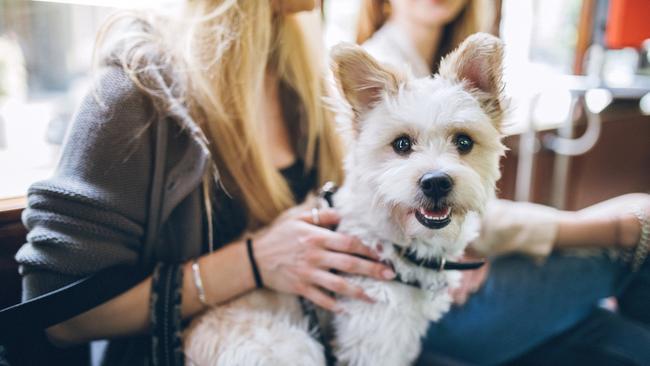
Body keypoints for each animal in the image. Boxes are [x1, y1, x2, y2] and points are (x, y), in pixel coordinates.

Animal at [182, 33, 506, 366]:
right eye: (402, 144)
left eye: (463, 142)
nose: (436, 183)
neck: (395, 242)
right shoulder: (372, 337)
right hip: (294, 347)